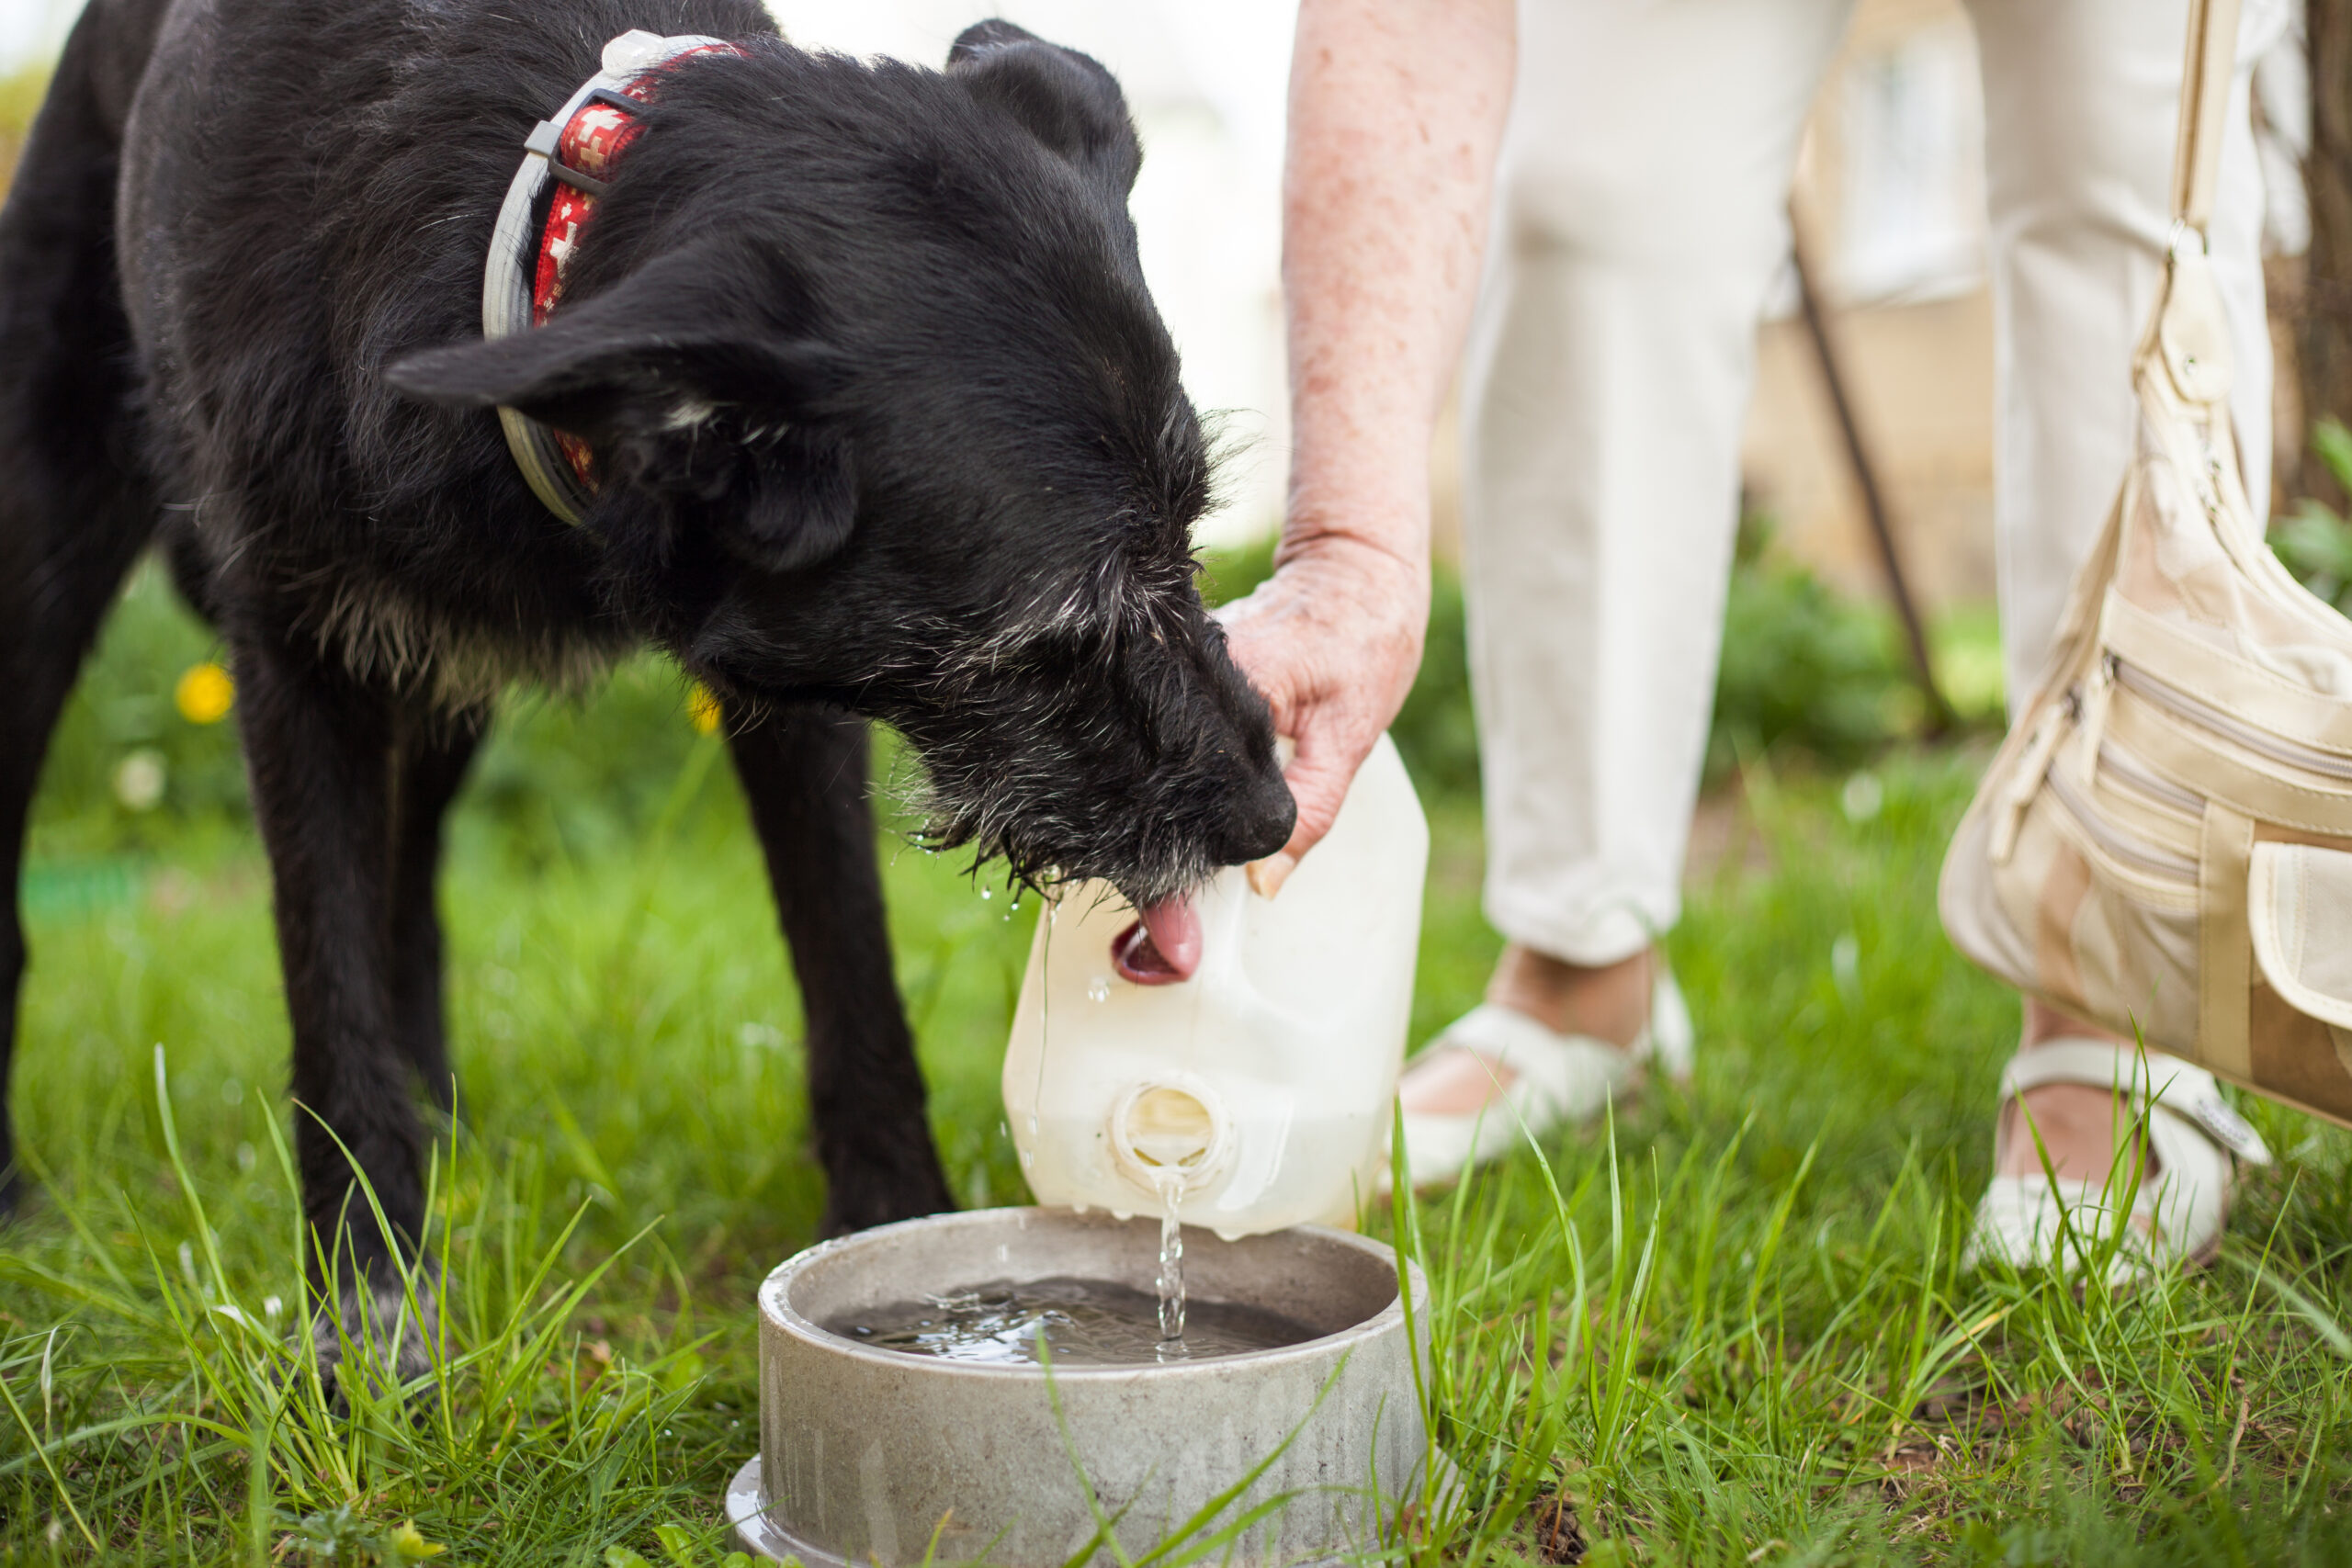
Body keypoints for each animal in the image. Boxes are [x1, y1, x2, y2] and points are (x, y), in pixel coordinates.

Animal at [0, 0, 1288, 1372]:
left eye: (1189, 537)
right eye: (1057, 627)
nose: (1271, 818)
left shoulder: (798, 672)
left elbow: (850, 961)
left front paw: (894, 1217)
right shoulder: (294, 651)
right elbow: (325, 981)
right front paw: (372, 1294)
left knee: (412, 877)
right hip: (50, 526)